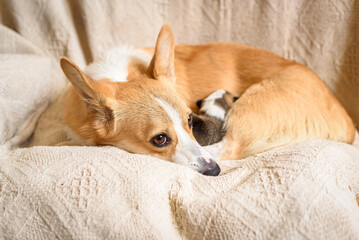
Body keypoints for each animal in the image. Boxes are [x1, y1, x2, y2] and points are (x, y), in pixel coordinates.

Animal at [60, 24, 356, 176]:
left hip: (249, 107)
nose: (214, 171)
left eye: (190, 120)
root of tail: (348, 124)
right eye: (160, 139)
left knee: (230, 145)